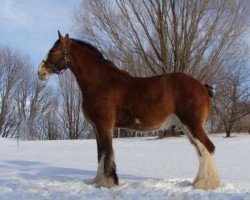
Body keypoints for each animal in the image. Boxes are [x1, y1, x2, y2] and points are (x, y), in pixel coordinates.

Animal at [38, 31, 220, 189]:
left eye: (53, 50)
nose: (41, 72)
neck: (100, 81)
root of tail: (202, 87)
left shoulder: (104, 125)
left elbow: (107, 152)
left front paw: (107, 183)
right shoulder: (97, 127)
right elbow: (100, 154)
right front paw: (98, 181)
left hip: (192, 125)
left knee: (208, 148)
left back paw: (206, 184)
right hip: (187, 127)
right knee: (201, 151)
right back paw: (198, 182)